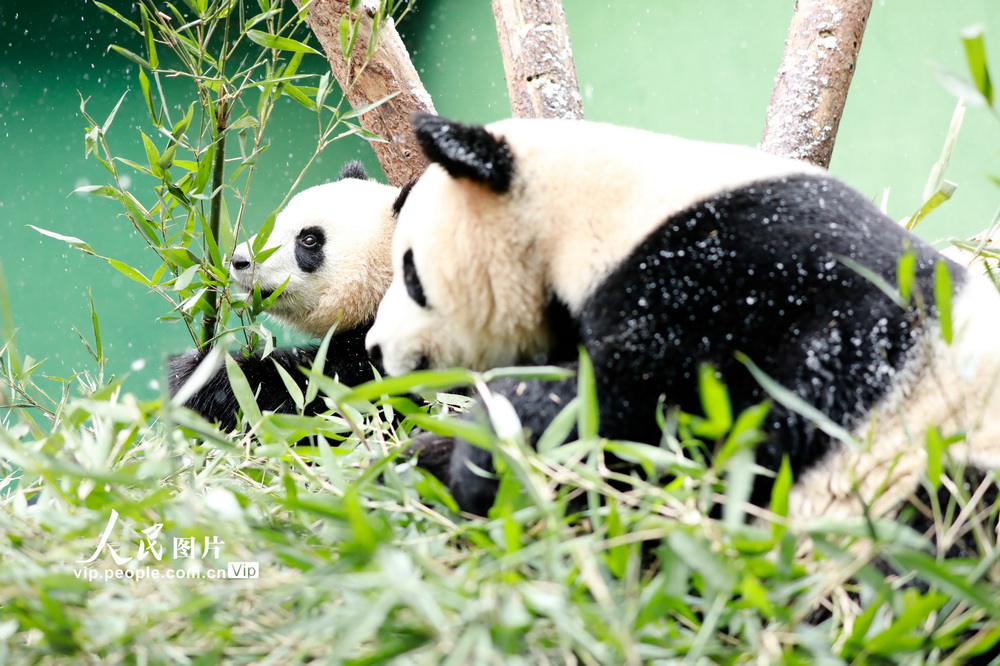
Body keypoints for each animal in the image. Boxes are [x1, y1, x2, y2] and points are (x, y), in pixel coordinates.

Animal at [364, 115, 1000, 524]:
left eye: (412, 274)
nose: (372, 348)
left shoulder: (724, 275)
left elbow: (638, 408)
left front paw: (487, 466)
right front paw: (423, 459)